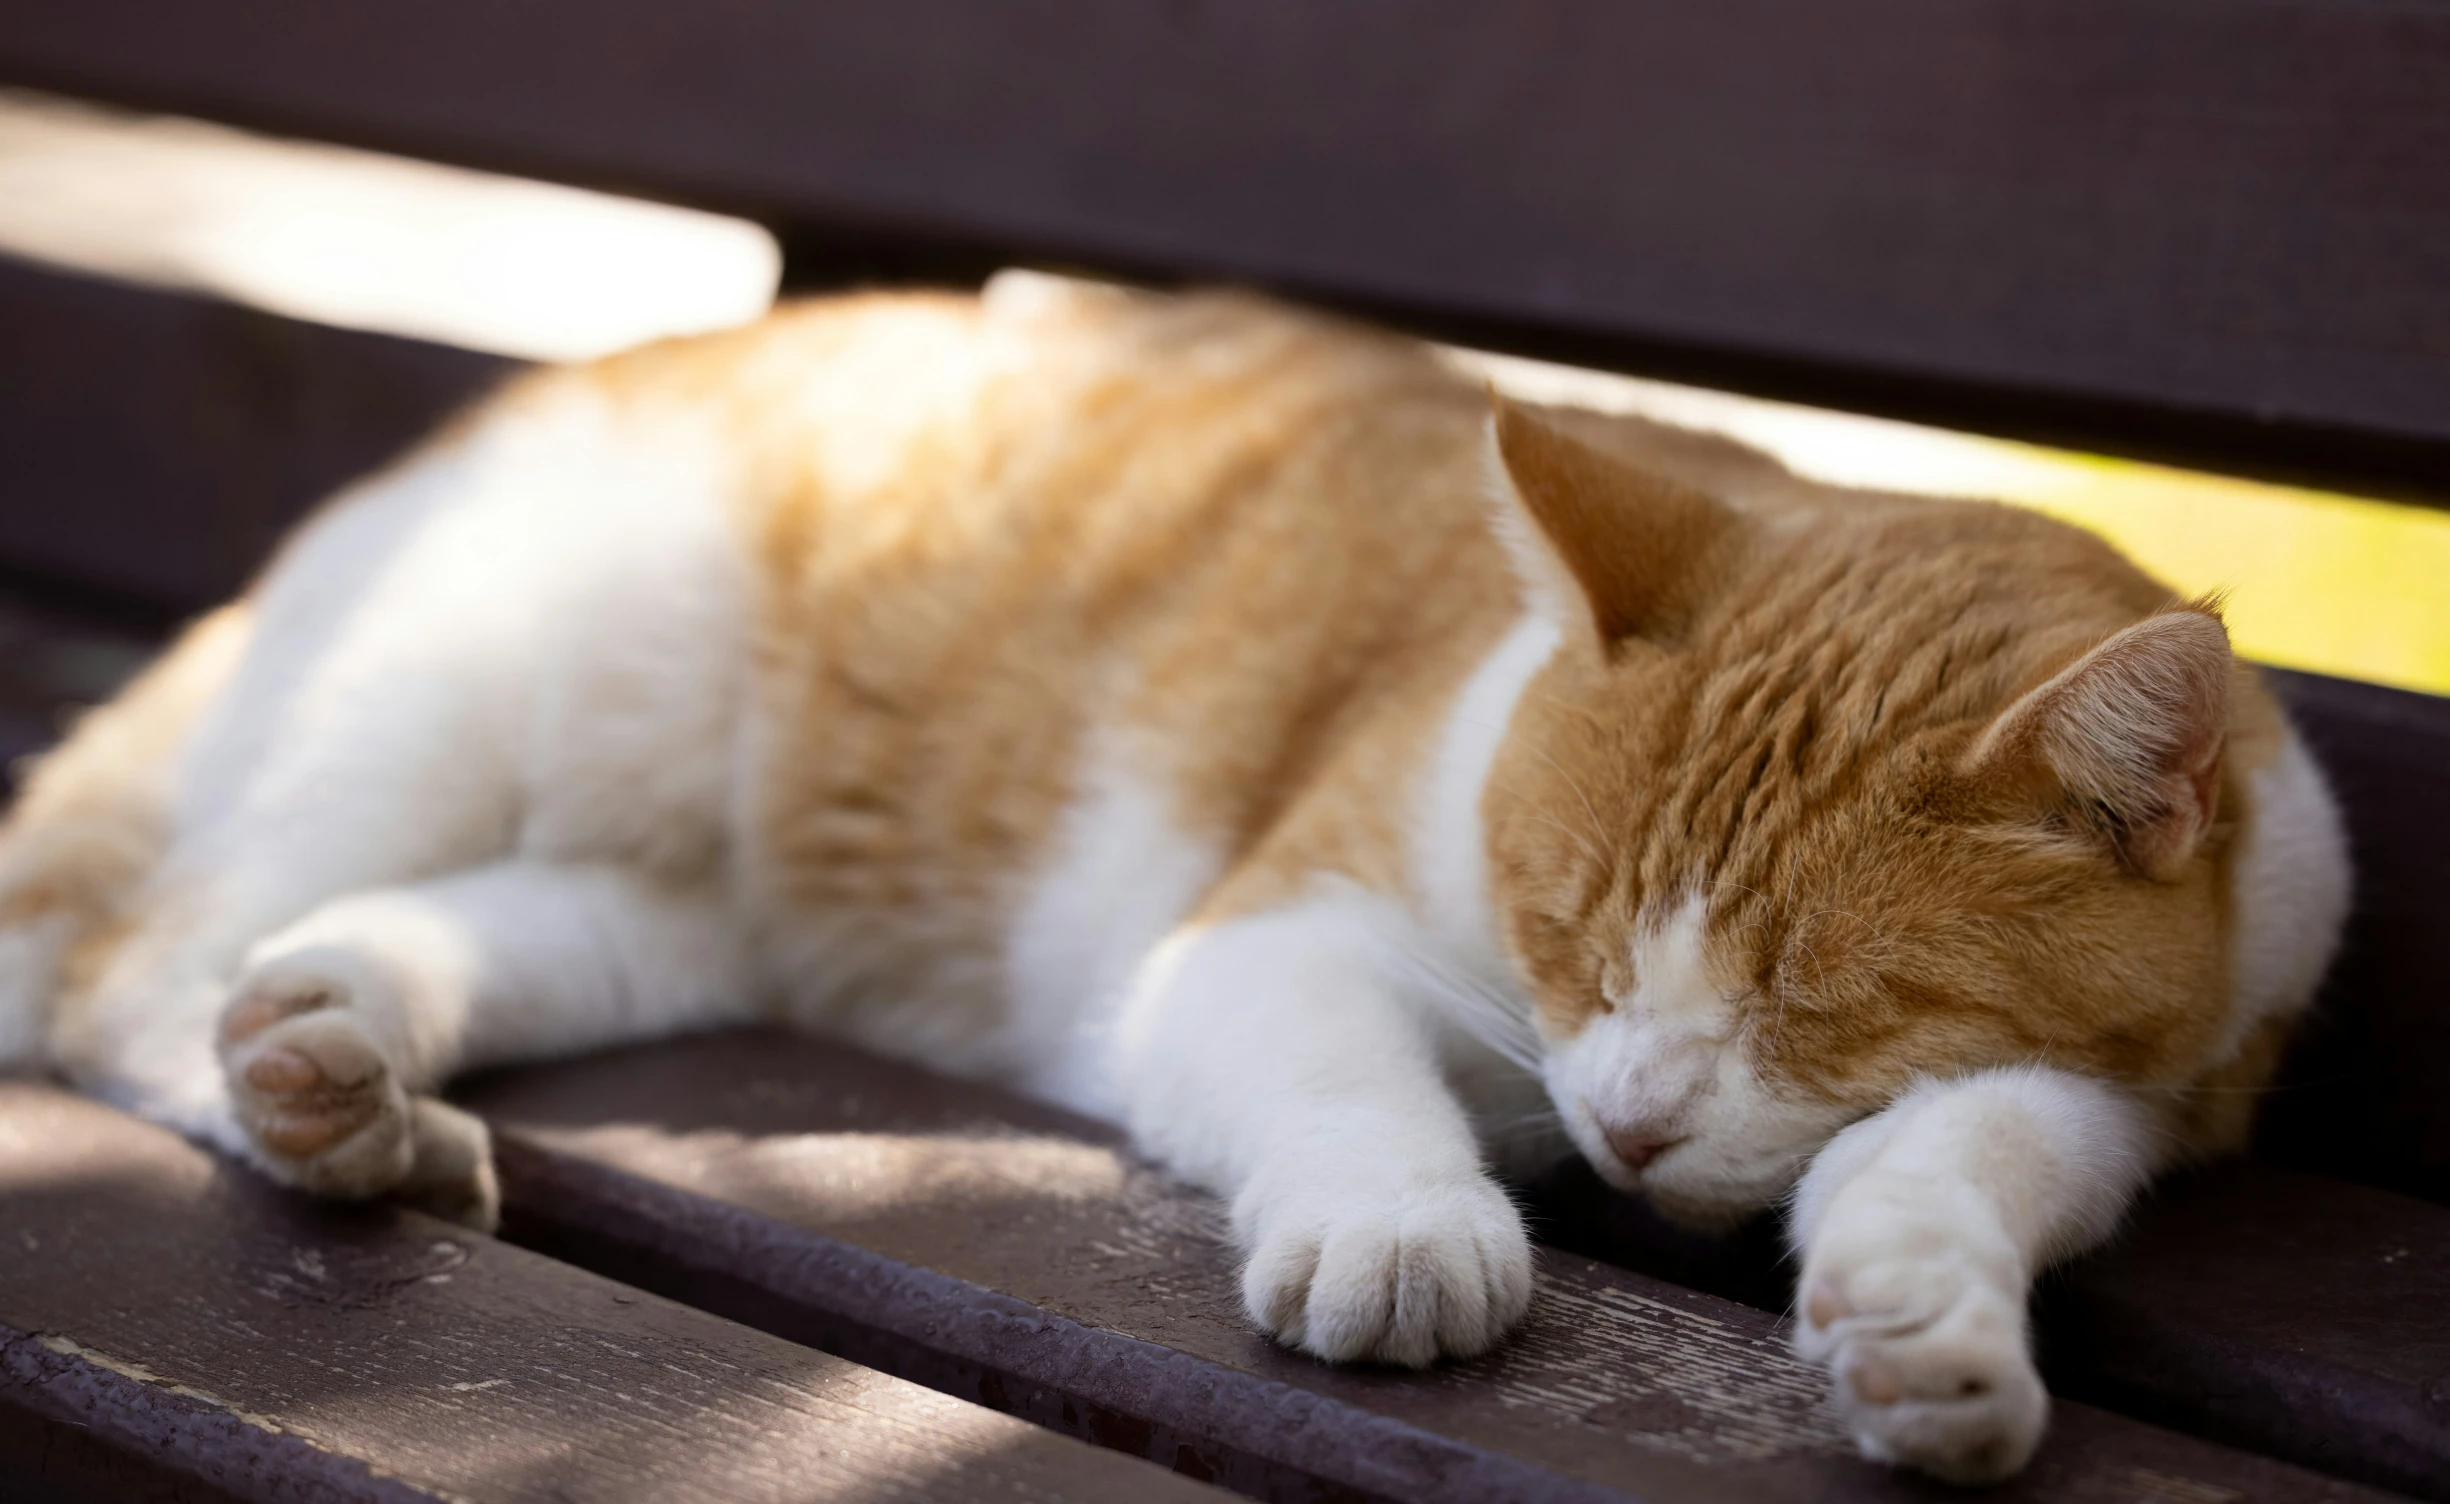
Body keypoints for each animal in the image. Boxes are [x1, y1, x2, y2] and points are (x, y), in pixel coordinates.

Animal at [0, 270, 2342, 1489]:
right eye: (1569, 935)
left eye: (1817, 1004)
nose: (1622, 1120)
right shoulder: (1269, 938)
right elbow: (1346, 1093)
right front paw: (1409, 1233)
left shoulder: (2128, 1084)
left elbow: (1968, 1156)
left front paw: (1925, 1327)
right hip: (475, 689)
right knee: (131, 967)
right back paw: (329, 1127)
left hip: (643, 901)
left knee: (386, 945)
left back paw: (346, 1069)